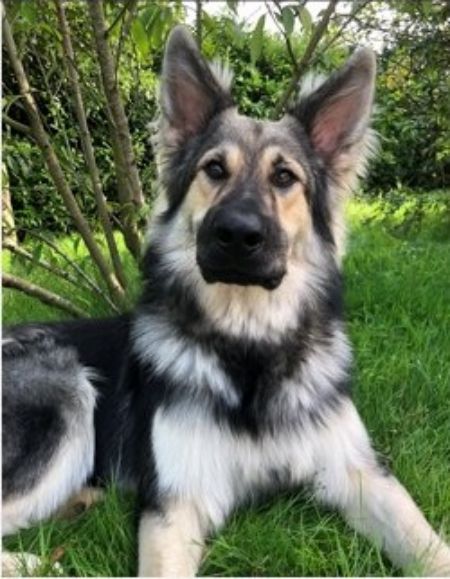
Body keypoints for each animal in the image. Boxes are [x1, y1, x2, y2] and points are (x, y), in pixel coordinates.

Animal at [2, 25, 450, 577]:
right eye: (214, 169)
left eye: (284, 177)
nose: (237, 234)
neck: (248, 346)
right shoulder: (177, 502)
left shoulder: (361, 473)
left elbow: (428, 544)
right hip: (65, 391)